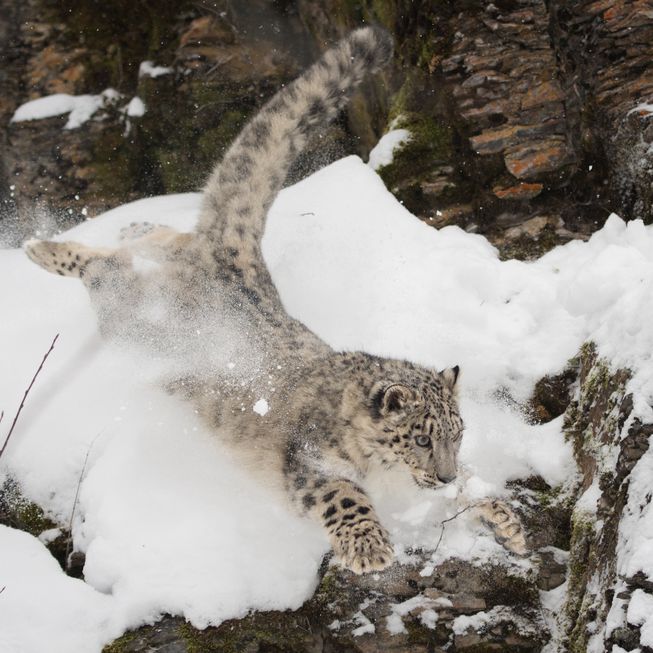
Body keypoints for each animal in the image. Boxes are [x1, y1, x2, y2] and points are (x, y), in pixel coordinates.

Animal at [24, 28, 524, 572]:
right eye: (420, 437)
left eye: (459, 433)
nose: (445, 474)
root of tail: (230, 254)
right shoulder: (307, 463)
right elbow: (346, 497)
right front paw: (370, 548)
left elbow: (474, 488)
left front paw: (507, 521)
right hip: (130, 322)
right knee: (104, 271)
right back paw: (42, 249)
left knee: (160, 238)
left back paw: (128, 226)